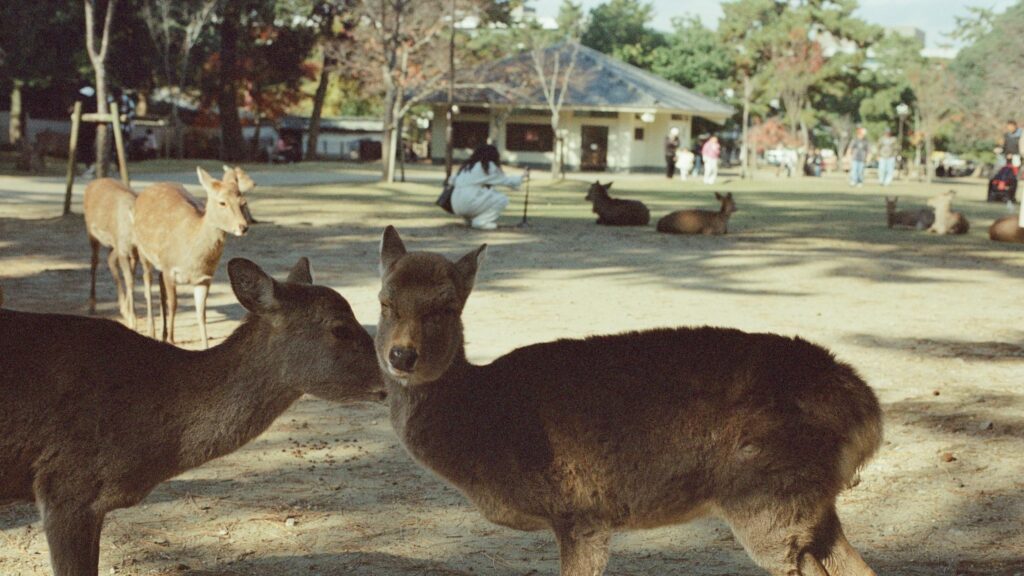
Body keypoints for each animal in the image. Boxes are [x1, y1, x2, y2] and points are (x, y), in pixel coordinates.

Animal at [84, 178, 139, 329]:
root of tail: (92, 183)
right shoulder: (123, 250)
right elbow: (129, 280)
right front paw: (132, 319)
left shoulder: (133, 254)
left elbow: (130, 279)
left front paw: (127, 312)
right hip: (91, 233)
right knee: (94, 262)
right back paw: (92, 304)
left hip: (113, 245)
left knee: (110, 261)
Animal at [133, 167, 250, 348]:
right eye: (222, 202)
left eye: (243, 202)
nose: (243, 227)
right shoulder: (170, 267)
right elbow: (174, 305)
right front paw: (172, 341)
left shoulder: (204, 278)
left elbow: (201, 313)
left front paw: (204, 346)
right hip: (142, 249)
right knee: (147, 286)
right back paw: (152, 332)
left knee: (160, 287)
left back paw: (162, 333)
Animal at [375, 225, 882, 576]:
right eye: (384, 301)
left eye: (447, 306)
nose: (401, 355)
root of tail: (868, 412)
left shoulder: (579, 512)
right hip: (813, 505)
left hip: (769, 501)